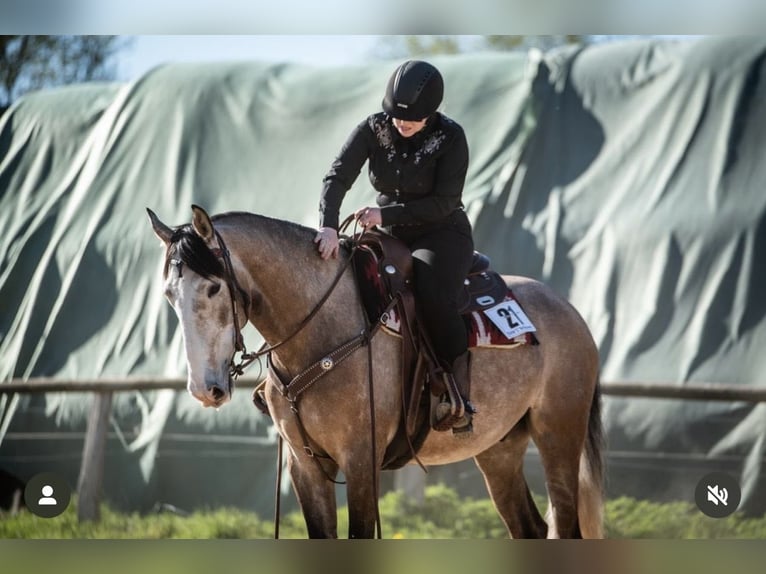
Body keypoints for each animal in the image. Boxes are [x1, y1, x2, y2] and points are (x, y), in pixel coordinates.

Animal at [147, 205, 604, 539]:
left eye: (212, 287)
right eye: (169, 294)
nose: (205, 388)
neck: (323, 328)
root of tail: (568, 310)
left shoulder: (361, 462)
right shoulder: (305, 466)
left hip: (558, 436)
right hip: (499, 449)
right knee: (529, 528)